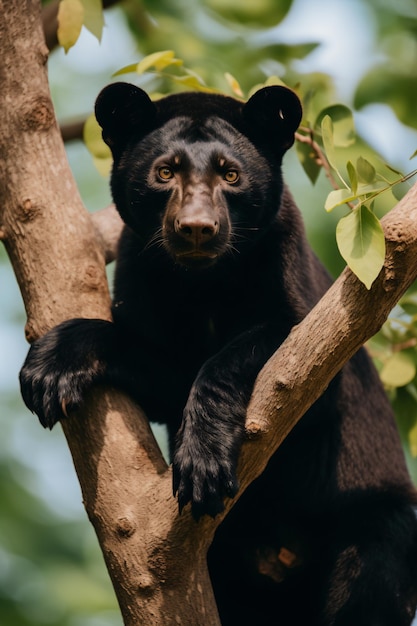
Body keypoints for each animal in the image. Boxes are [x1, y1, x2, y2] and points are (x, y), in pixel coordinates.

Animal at [20, 84, 417, 624]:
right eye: (165, 172)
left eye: (231, 174)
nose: (196, 227)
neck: (202, 287)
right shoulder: (160, 352)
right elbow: (130, 347)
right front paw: (47, 371)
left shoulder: (312, 344)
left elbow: (230, 360)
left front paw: (202, 466)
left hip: (377, 541)